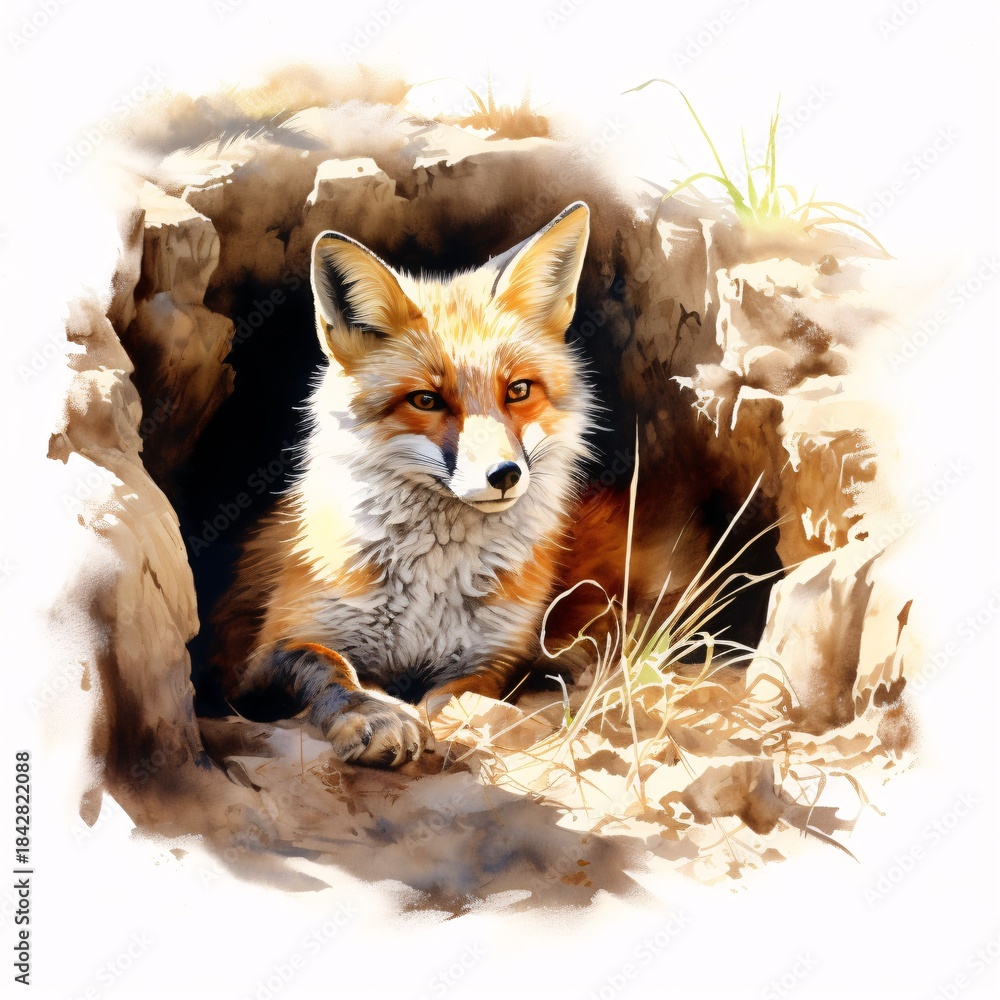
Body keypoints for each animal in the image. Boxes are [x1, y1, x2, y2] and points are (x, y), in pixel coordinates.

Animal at [213, 201, 684, 768]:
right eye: (426, 400)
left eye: (518, 390)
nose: (504, 475)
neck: (430, 590)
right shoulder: (257, 659)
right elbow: (326, 664)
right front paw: (375, 714)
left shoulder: (493, 656)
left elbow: (459, 697)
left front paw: (446, 723)